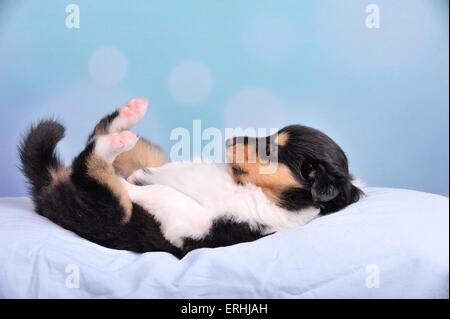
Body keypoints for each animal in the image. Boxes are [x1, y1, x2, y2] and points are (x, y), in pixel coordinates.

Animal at [18, 98, 362, 260]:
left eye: (270, 150)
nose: (230, 139)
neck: (246, 187)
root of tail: (48, 190)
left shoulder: (195, 228)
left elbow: (164, 195)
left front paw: (134, 184)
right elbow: (167, 181)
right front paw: (140, 178)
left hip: (107, 215)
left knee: (93, 168)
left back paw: (118, 158)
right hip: (146, 155)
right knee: (99, 137)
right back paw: (127, 118)